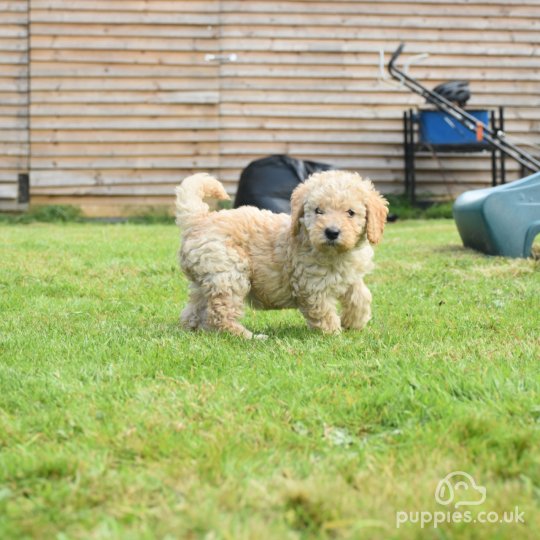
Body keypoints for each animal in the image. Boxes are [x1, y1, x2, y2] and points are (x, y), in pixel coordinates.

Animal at [177, 170, 388, 338]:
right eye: (318, 211)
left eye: (351, 212)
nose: (332, 232)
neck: (336, 253)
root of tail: (200, 220)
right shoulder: (312, 287)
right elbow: (324, 313)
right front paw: (334, 335)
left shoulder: (349, 277)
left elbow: (361, 296)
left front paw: (354, 322)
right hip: (229, 273)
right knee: (220, 315)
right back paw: (250, 337)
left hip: (206, 279)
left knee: (194, 310)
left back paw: (192, 330)